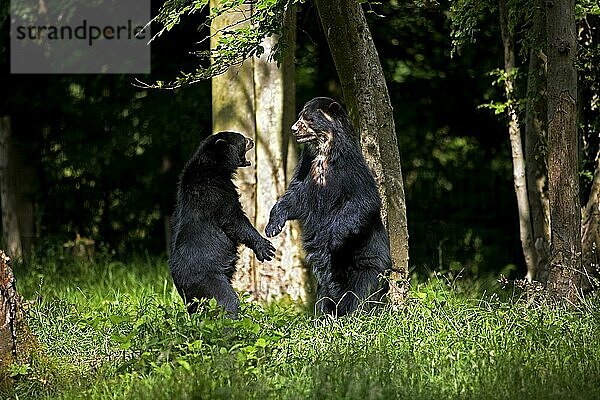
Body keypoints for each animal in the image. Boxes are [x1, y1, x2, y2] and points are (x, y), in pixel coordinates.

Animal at [170, 132, 276, 318]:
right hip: (209, 279)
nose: (251, 140)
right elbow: (234, 220)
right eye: (242, 139)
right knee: (227, 299)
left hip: (193, 295)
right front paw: (265, 248)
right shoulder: (217, 193)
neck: (215, 167)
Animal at [266, 97, 390, 316]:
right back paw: (324, 313)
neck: (325, 154)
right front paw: (273, 227)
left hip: (369, 260)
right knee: (324, 291)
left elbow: (363, 202)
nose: (294, 129)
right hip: (327, 278)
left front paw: (331, 238)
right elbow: (294, 198)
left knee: (362, 289)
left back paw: (355, 312)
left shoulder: (351, 171)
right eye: (300, 116)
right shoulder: (308, 171)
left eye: (308, 118)